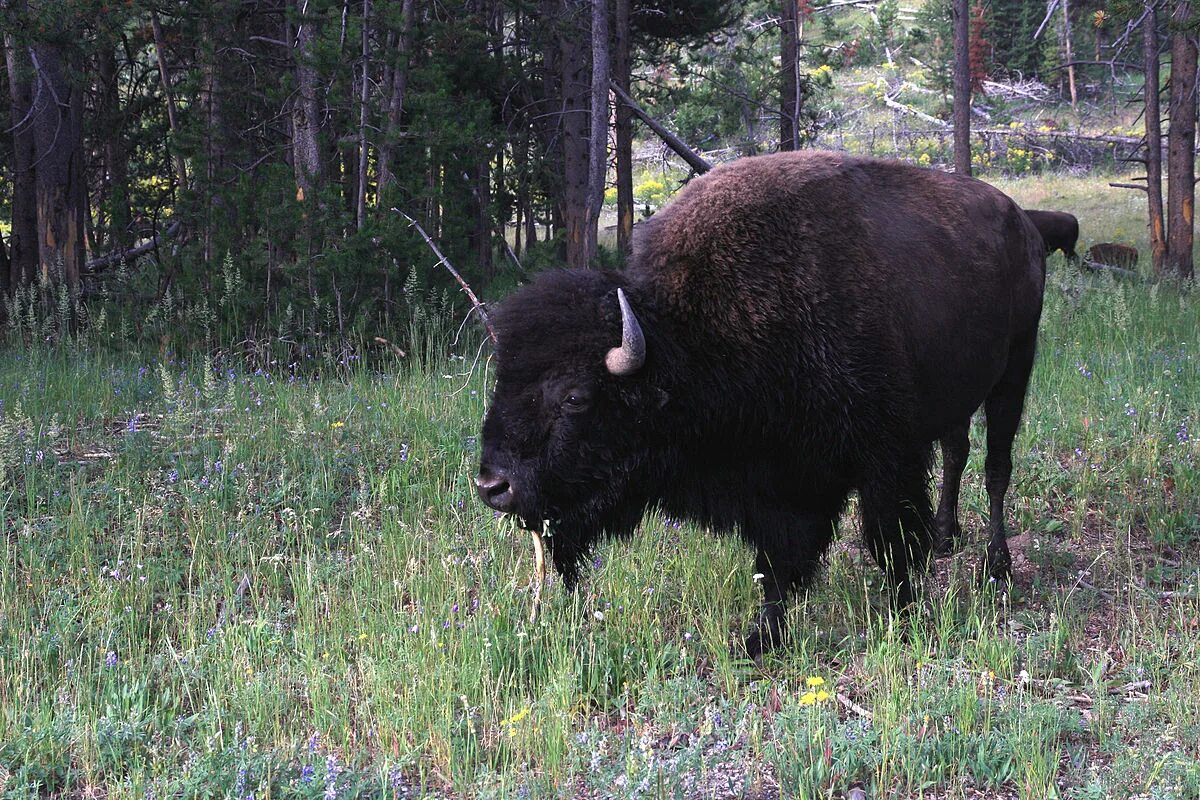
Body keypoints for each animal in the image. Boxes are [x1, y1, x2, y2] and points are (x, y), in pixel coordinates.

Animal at [472, 149, 1046, 657]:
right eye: (503, 379)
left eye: (575, 397)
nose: (493, 486)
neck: (692, 338)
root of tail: (1021, 222)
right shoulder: (778, 483)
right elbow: (778, 563)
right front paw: (762, 638)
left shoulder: (887, 458)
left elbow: (891, 539)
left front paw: (905, 617)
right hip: (959, 397)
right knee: (957, 453)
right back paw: (949, 537)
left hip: (1015, 370)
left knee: (996, 468)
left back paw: (997, 567)